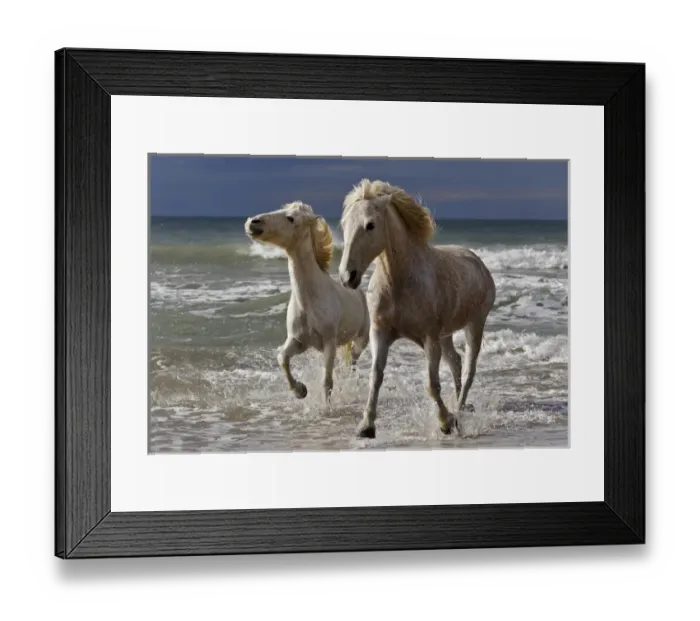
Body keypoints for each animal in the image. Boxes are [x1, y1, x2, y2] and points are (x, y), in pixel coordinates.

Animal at [245, 201, 370, 404]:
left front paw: (326, 407)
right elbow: (282, 358)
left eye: (291, 218)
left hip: (360, 341)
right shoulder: (298, 341)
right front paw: (300, 391)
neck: (310, 300)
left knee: (352, 364)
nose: (253, 223)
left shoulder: (329, 343)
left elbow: (326, 382)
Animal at [338, 179, 496, 439]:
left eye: (370, 225)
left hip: (475, 325)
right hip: (446, 335)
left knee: (469, 370)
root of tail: (477, 261)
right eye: (344, 225)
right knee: (456, 362)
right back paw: (459, 407)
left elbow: (432, 385)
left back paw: (459, 412)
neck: (398, 283)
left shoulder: (430, 339)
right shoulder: (380, 332)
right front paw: (366, 426)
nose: (346, 277)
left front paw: (446, 422)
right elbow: (376, 376)